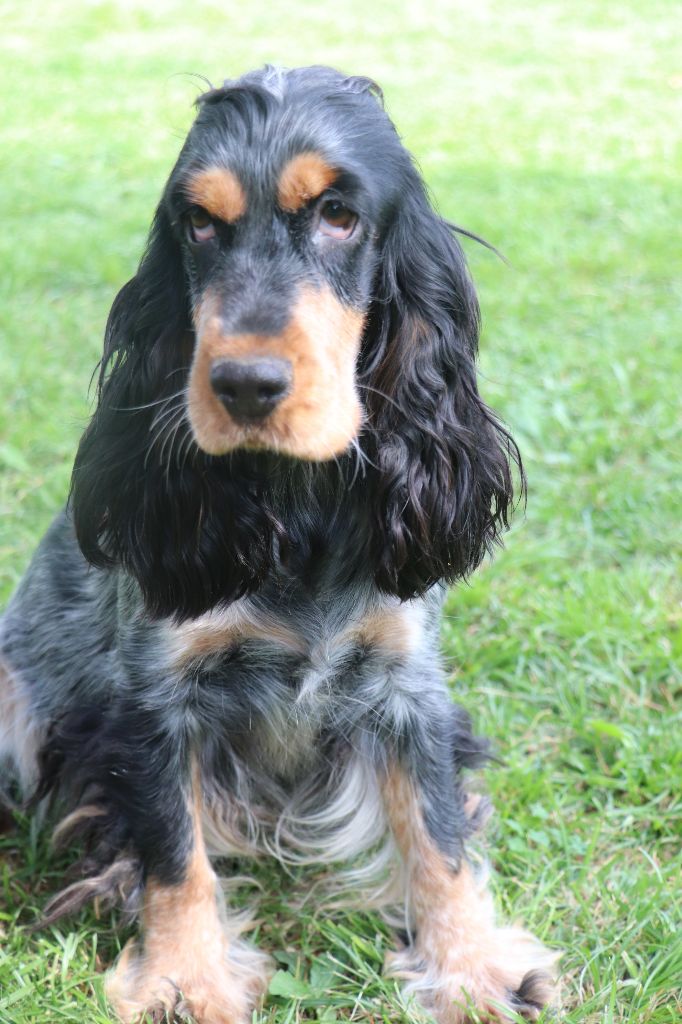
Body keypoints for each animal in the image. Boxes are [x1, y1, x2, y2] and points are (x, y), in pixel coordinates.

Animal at [0, 68, 557, 1019]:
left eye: (338, 214)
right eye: (198, 223)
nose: (245, 384)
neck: (300, 509)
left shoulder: (407, 683)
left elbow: (438, 830)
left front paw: (473, 965)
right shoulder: (158, 697)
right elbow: (174, 850)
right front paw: (185, 977)